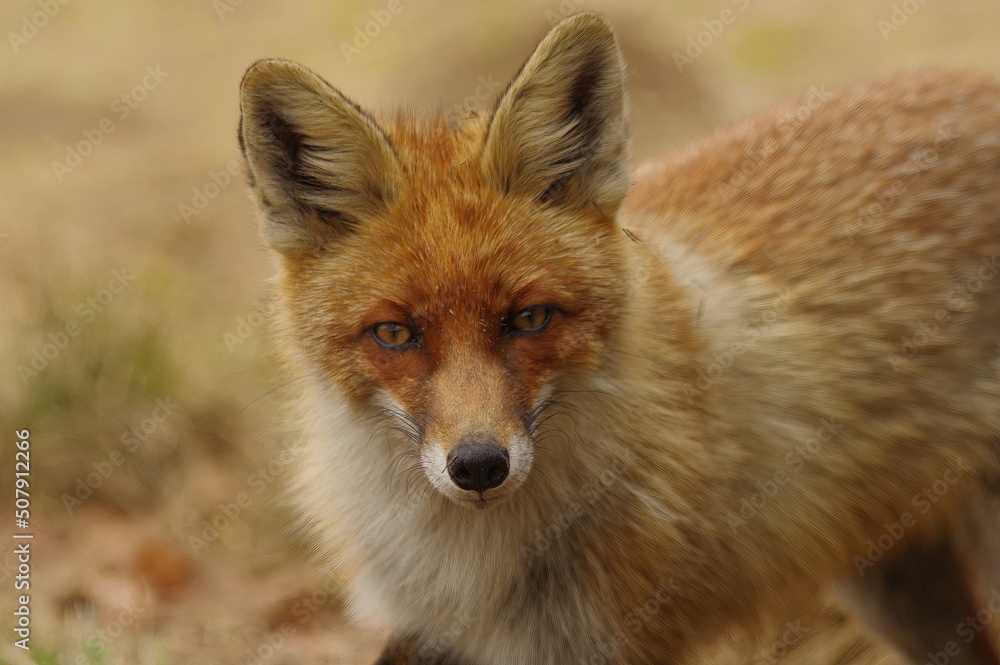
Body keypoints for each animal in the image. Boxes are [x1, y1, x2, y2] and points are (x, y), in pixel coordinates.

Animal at [240, 11, 1000, 664]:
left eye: (530, 318)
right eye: (395, 332)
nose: (479, 466)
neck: (479, 565)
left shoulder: (611, 640)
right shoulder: (440, 635)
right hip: (897, 592)